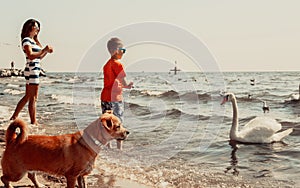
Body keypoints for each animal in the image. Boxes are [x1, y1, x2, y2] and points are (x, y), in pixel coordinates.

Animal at [0, 111, 129, 187]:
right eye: (118, 126)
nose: (128, 132)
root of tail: (12, 140)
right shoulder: (71, 176)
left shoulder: (81, 176)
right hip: (17, 173)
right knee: (4, 178)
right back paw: (10, 186)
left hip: (29, 167)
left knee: (31, 176)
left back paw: (39, 185)